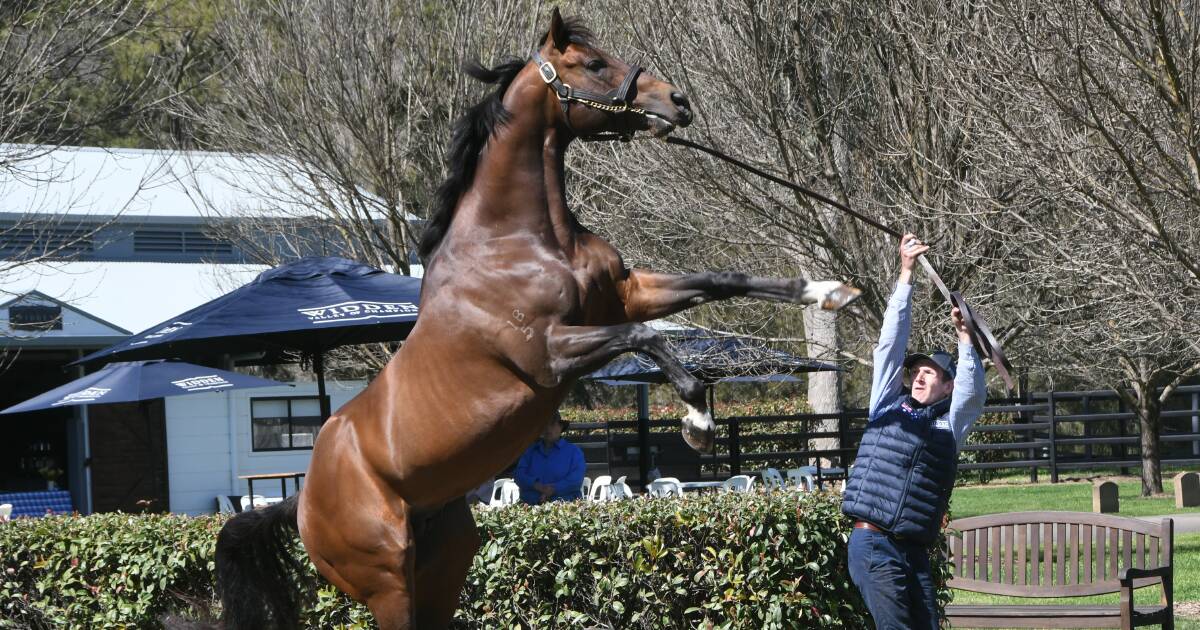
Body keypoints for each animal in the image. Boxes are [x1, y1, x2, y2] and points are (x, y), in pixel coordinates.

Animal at [213, 7, 854, 624]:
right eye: (594, 63)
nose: (677, 102)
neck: (517, 241)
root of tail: (302, 498)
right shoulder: (551, 353)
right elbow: (646, 338)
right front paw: (698, 422)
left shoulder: (626, 293)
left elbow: (722, 281)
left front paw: (828, 292)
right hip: (387, 580)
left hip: (446, 559)